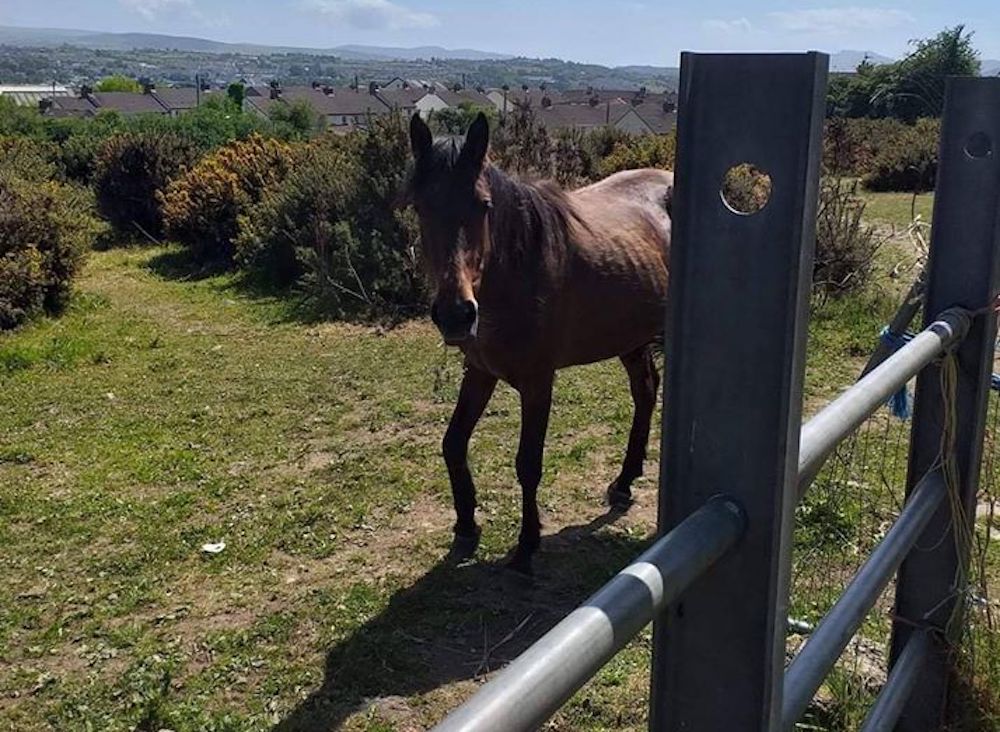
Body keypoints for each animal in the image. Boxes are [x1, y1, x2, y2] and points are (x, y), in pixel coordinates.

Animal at [406, 111, 672, 576]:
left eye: (483, 205)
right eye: (421, 206)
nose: (456, 314)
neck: (514, 273)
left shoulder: (537, 383)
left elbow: (528, 464)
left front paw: (527, 545)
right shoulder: (480, 372)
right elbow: (453, 443)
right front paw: (466, 525)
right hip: (629, 336)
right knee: (645, 392)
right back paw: (624, 482)